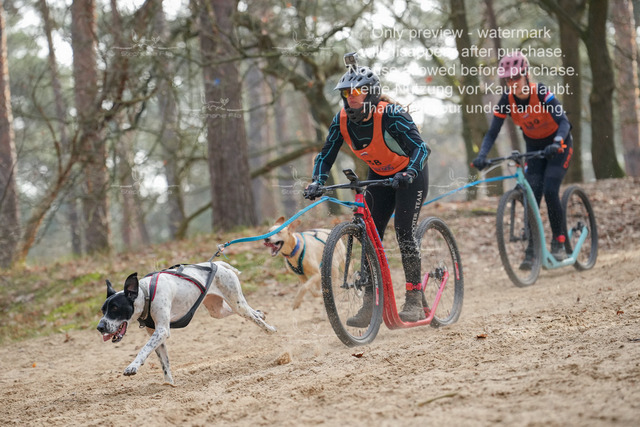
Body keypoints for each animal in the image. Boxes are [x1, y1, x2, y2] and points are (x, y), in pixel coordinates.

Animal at [97, 261, 276, 385]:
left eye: (115, 308)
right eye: (103, 310)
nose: (100, 327)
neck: (146, 293)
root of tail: (218, 264)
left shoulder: (162, 331)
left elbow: (143, 349)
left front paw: (132, 366)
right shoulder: (158, 335)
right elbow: (165, 364)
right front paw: (169, 385)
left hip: (236, 302)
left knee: (252, 317)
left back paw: (270, 329)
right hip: (218, 311)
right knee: (247, 312)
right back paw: (260, 313)